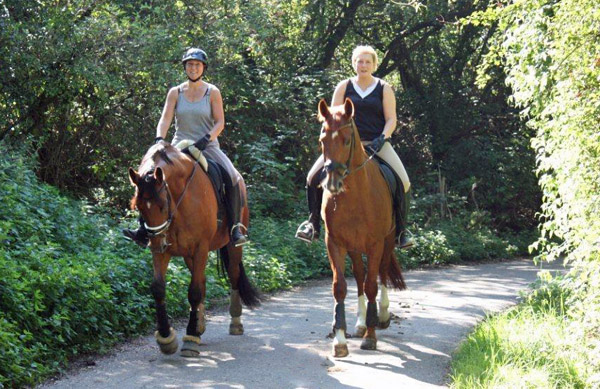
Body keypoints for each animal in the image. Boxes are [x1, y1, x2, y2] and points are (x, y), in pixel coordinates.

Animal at [129, 141, 260, 356]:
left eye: (162, 204)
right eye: (138, 206)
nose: (155, 244)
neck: (180, 200)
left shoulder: (200, 247)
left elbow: (194, 292)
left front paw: (189, 339)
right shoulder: (165, 251)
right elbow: (158, 288)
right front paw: (166, 338)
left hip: (231, 244)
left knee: (233, 276)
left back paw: (235, 322)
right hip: (187, 255)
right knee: (204, 281)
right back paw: (200, 326)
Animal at [318, 98, 408, 356]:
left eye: (347, 140)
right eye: (322, 139)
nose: (333, 183)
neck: (354, 195)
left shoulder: (376, 243)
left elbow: (371, 286)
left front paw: (371, 336)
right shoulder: (334, 242)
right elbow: (340, 287)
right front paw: (340, 340)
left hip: (387, 240)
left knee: (382, 271)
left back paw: (382, 316)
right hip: (354, 246)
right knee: (359, 275)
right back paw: (359, 323)